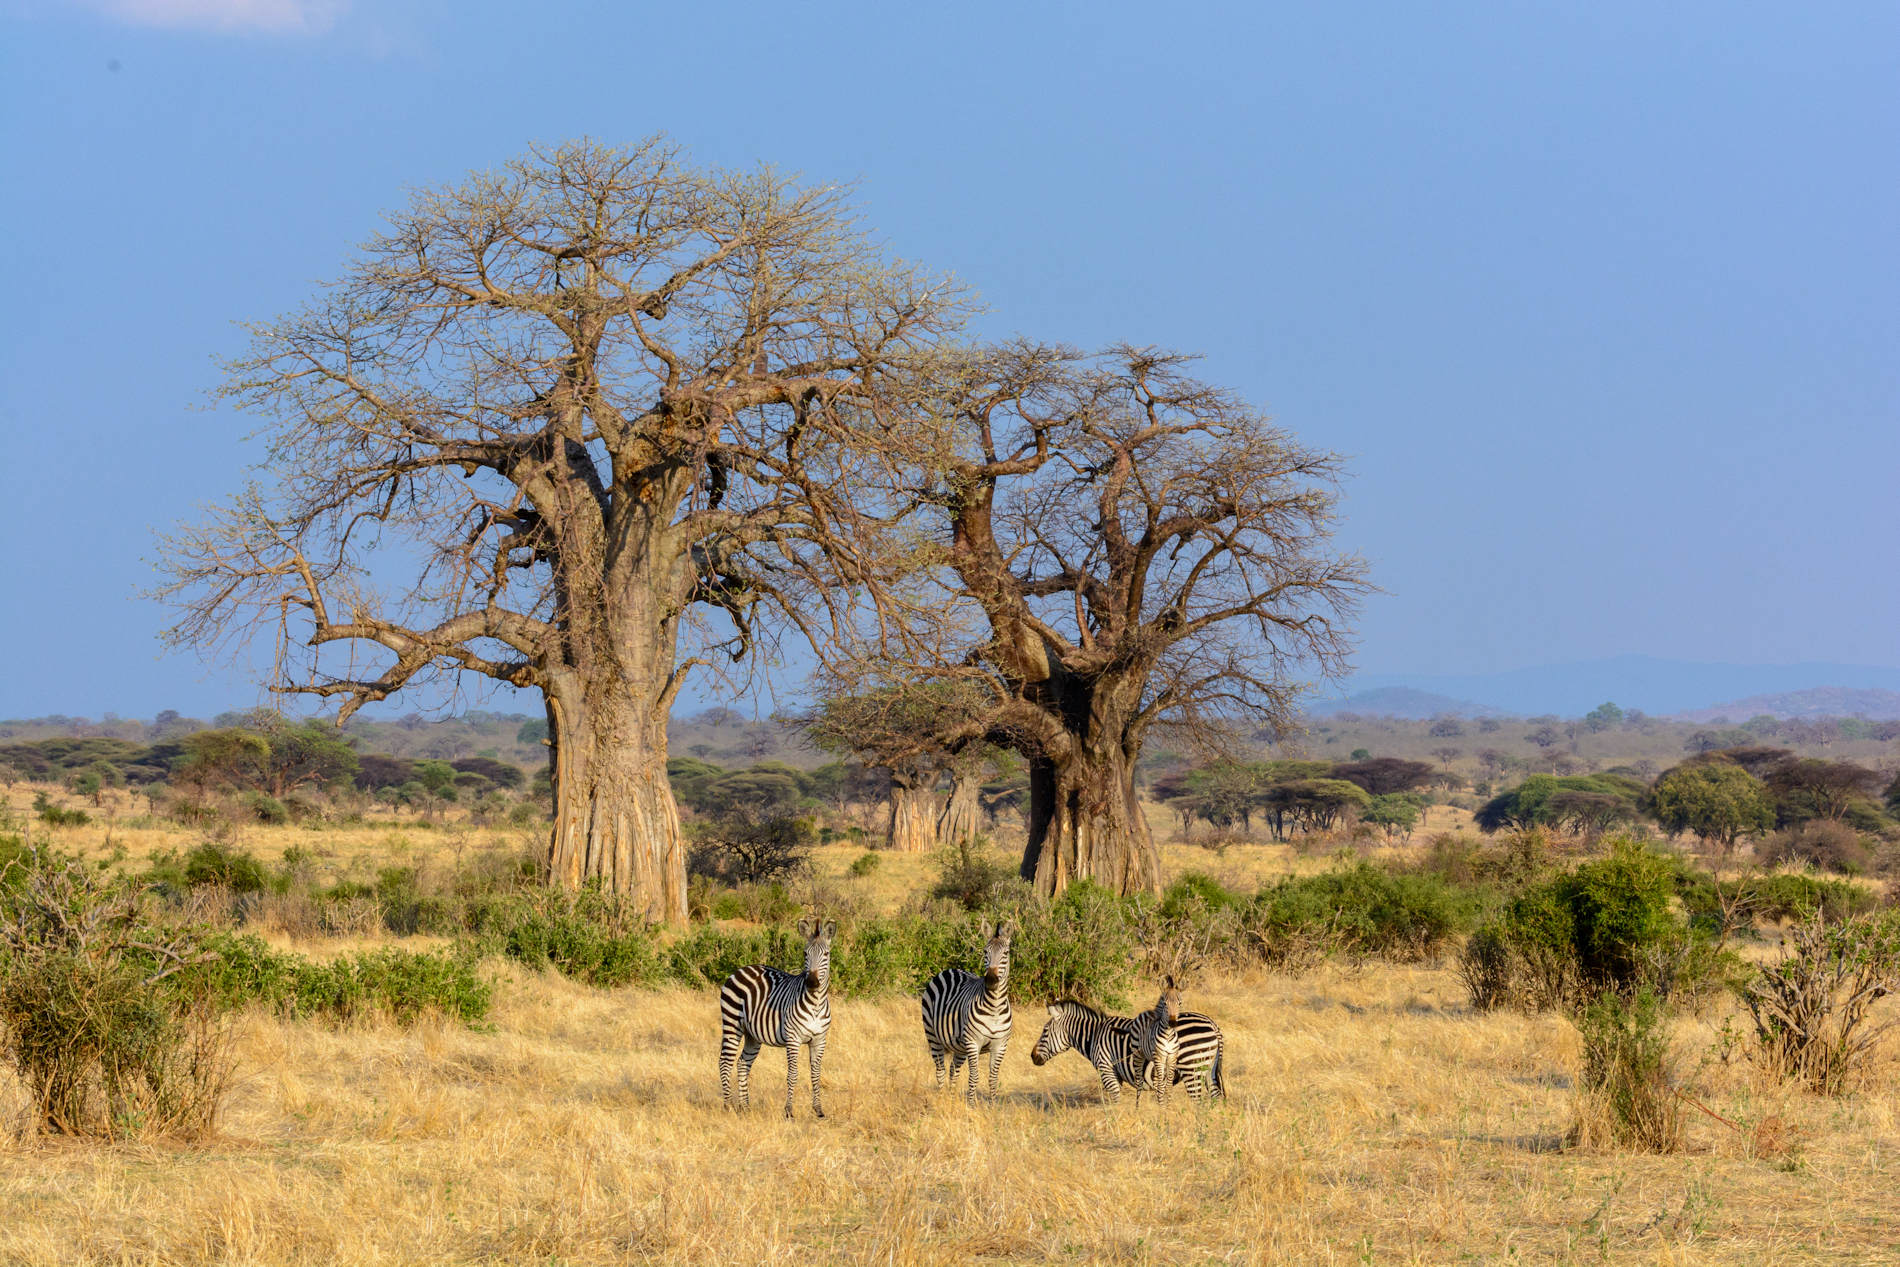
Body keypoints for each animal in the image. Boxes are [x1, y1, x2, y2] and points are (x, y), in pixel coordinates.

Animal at [718, 915, 832, 1116]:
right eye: (805, 954)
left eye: (825, 954)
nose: (811, 982)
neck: (816, 1004)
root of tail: (740, 969)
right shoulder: (793, 1039)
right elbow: (793, 1074)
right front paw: (788, 1112)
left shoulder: (819, 1040)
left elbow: (816, 1074)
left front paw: (818, 1110)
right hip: (732, 1024)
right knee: (725, 1061)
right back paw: (729, 1106)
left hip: (752, 1035)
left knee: (742, 1064)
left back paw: (745, 1107)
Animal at [915, 923, 1010, 1101]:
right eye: (985, 952)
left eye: (1006, 953)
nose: (991, 980)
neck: (994, 1007)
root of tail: (950, 970)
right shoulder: (973, 1043)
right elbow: (974, 1077)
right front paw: (971, 1104)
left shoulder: (1000, 1045)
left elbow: (993, 1079)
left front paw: (993, 1104)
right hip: (933, 1036)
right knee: (941, 1070)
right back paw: (941, 1099)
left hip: (959, 1046)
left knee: (954, 1070)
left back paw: (952, 1099)